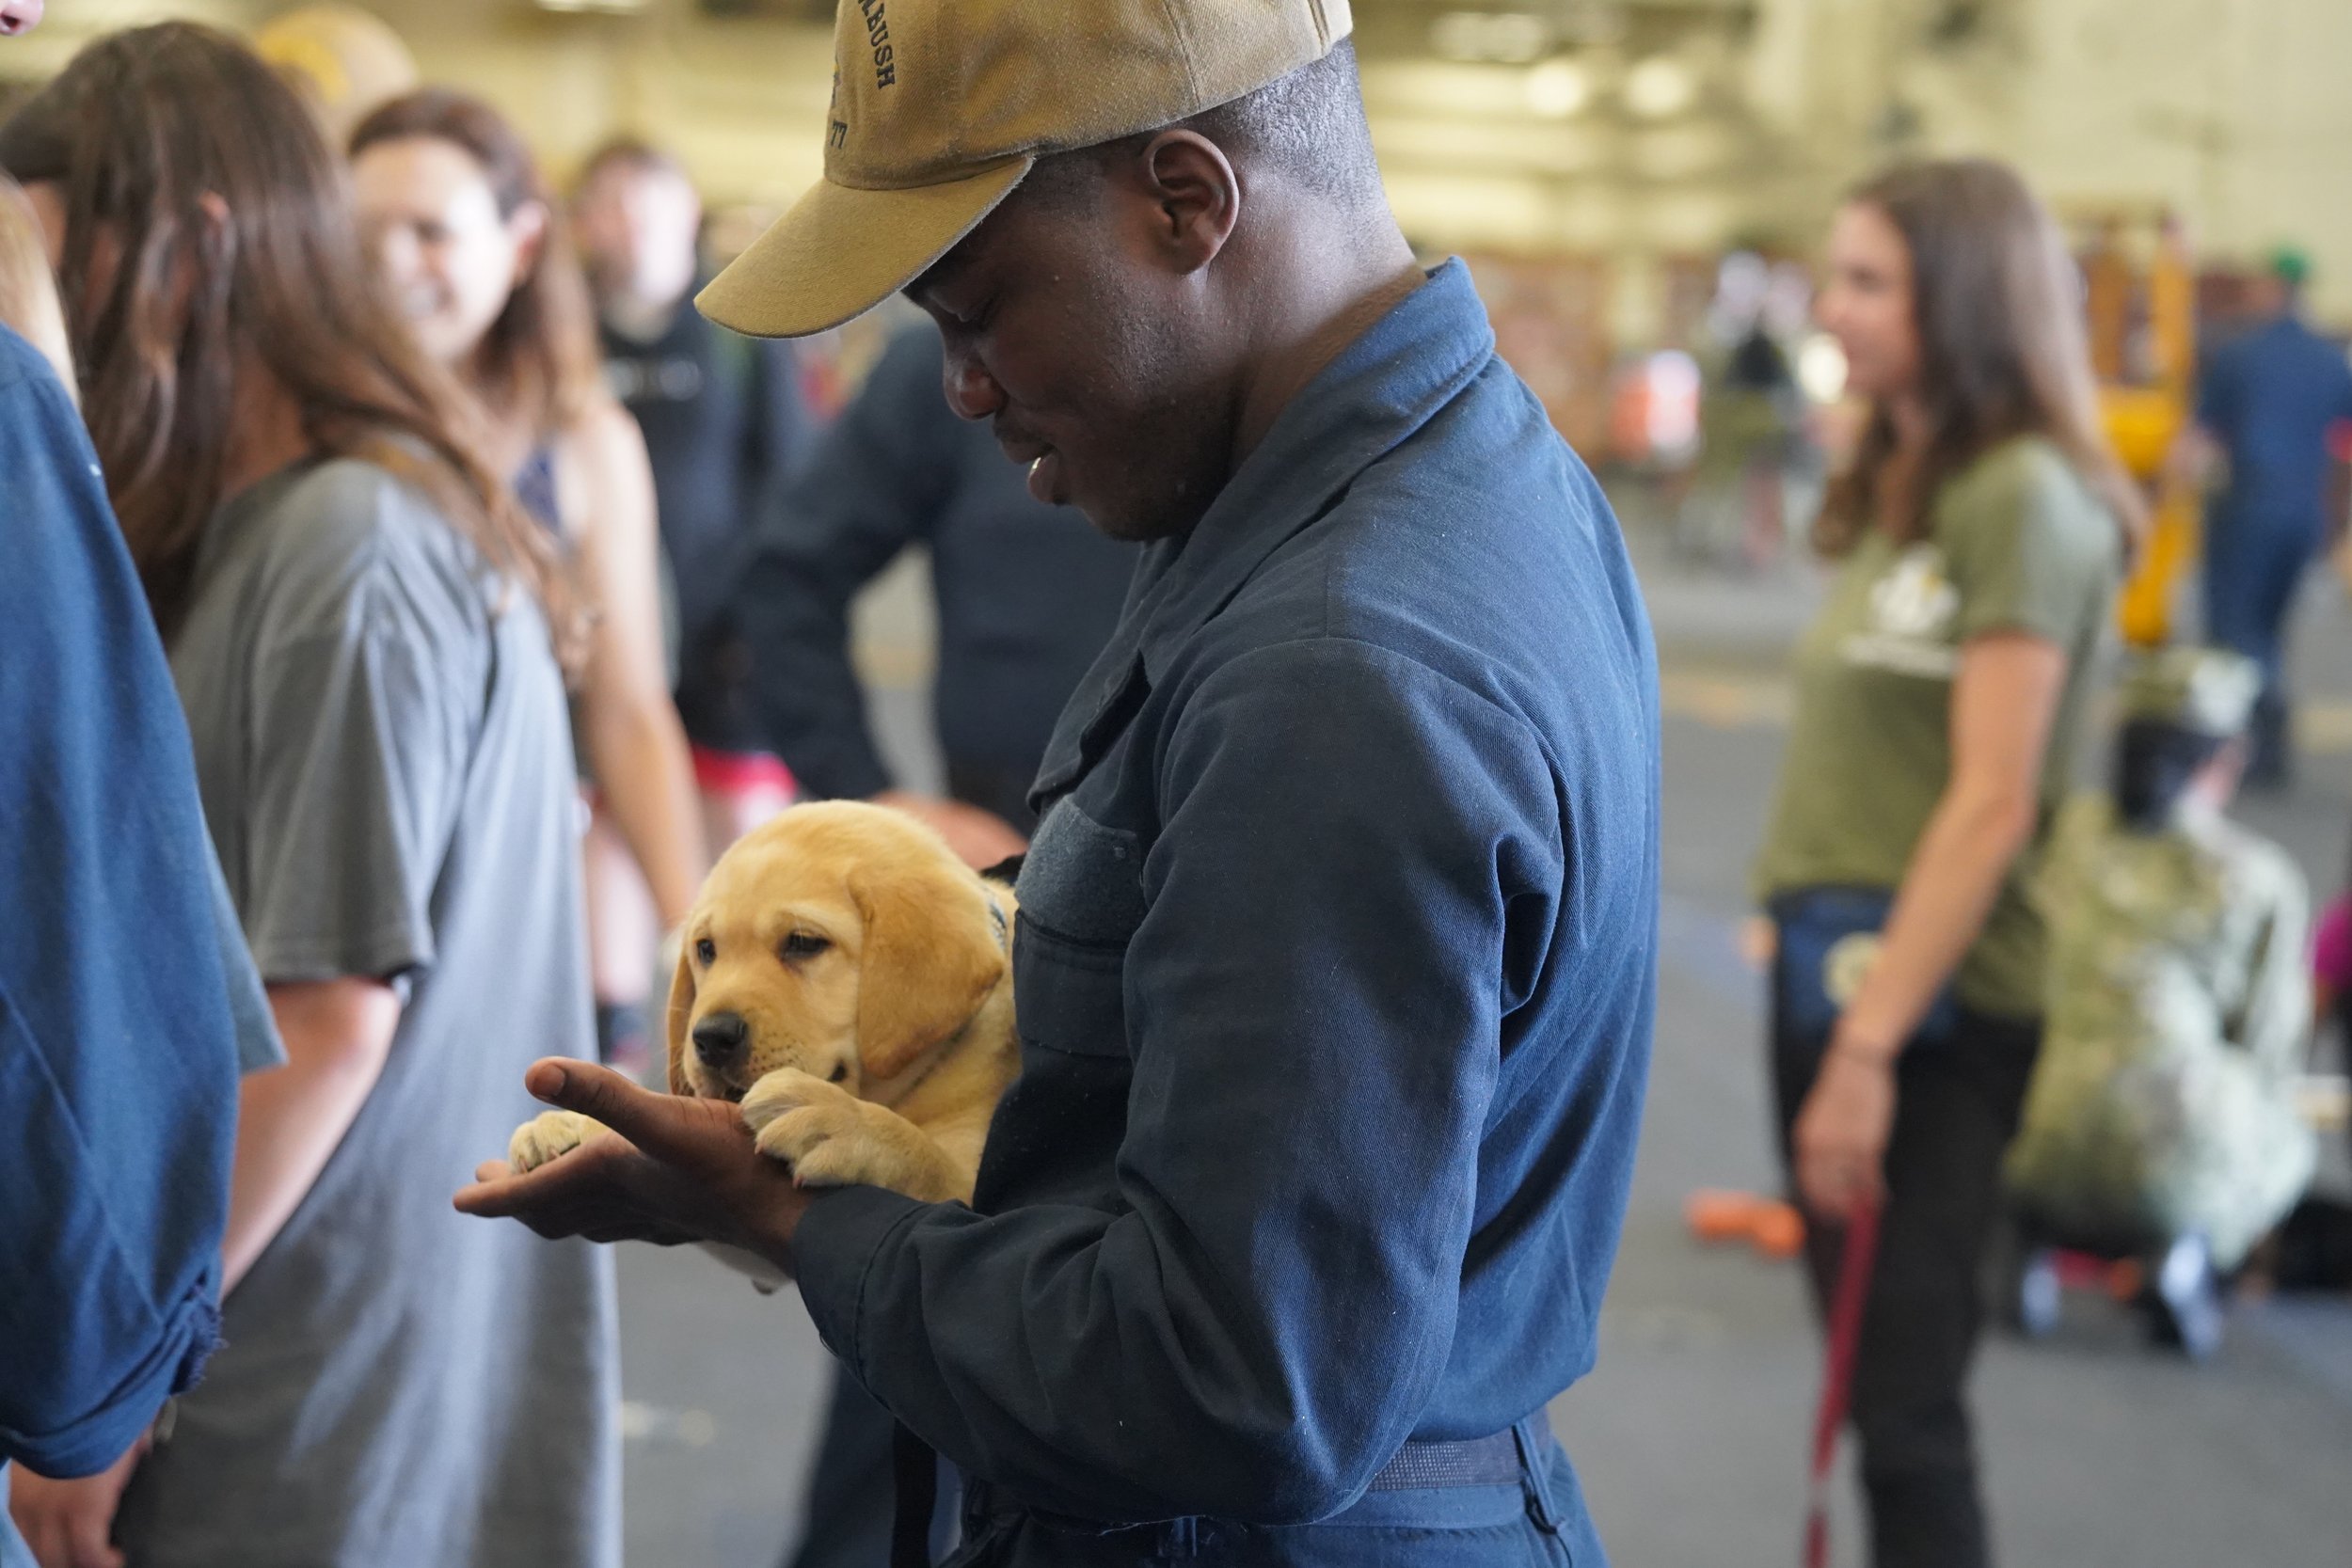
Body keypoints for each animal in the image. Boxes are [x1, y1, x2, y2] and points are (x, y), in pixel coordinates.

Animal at [505, 803, 1021, 1212]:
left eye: (803, 943)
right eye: (706, 950)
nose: (710, 1038)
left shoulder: (971, 1186)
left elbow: (928, 1160)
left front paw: (842, 1122)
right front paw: (567, 1123)